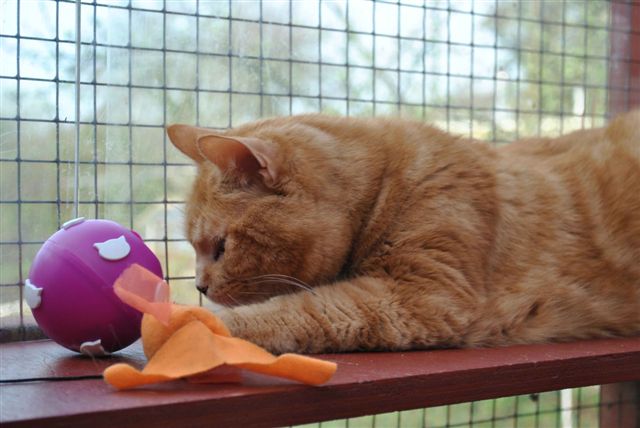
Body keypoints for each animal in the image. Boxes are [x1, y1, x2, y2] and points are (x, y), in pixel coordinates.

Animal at [169, 111, 640, 354]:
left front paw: (195, 319)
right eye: (194, 247)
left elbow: (296, 310)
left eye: (220, 247)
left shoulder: (422, 296)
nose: (200, 286)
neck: (387, 178)